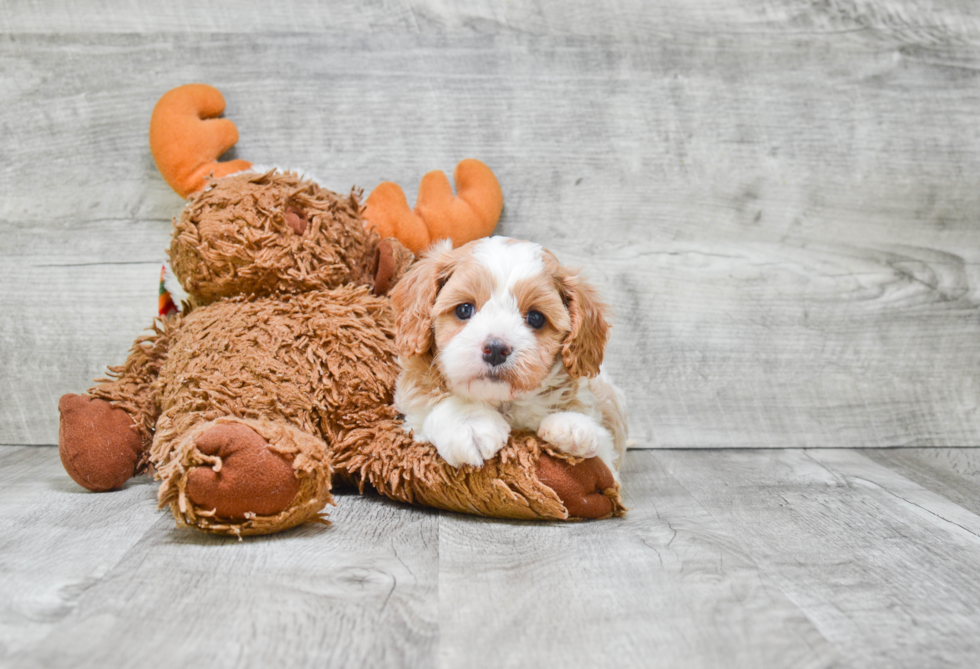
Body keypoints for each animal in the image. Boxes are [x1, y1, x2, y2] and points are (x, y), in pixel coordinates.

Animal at [390, 235, 628, 474]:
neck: (502, 401)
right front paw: (468, 422)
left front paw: (573, 427)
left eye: (536, 318)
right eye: (464, 309)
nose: (496, 349)